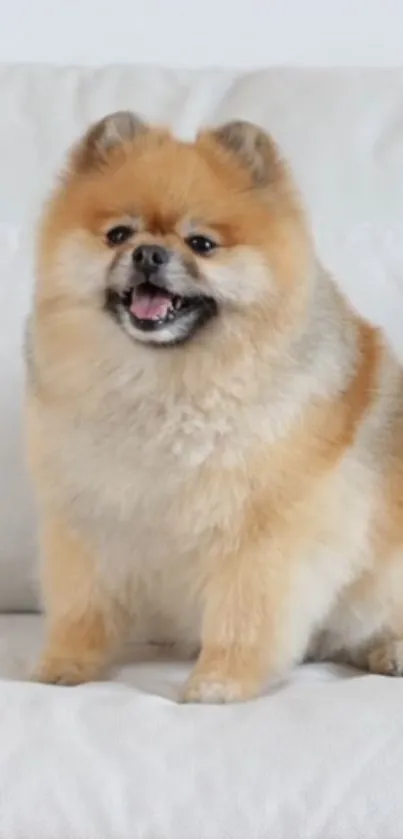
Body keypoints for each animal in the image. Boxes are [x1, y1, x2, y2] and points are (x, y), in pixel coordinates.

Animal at [26, 111, 403, 704]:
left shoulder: (260, 532)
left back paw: (390, 651)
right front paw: (66, 665)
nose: (148, 254)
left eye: (201, 243)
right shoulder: (89, 516)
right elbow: (80, 605)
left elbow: (243, 616)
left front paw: (220, 681)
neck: (168, 384)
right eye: (119, 235)